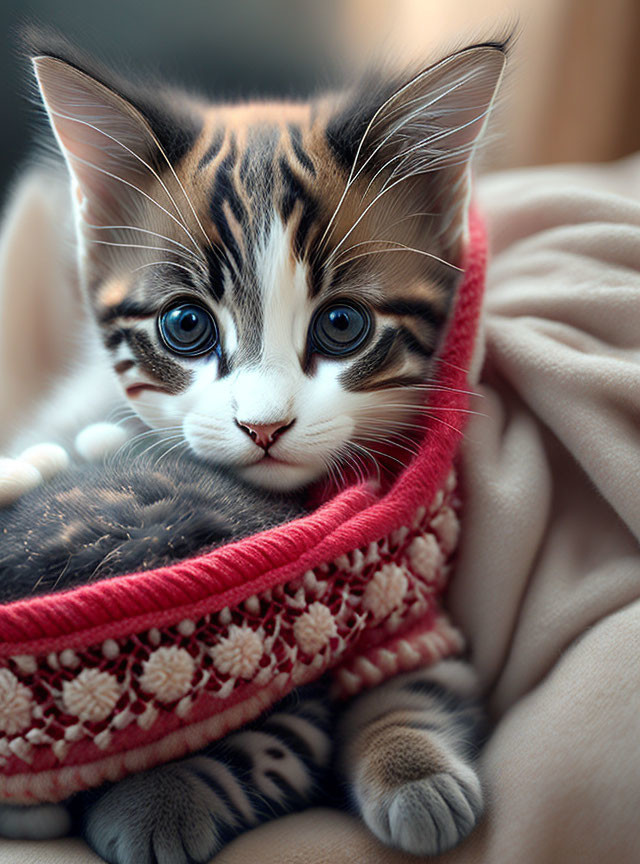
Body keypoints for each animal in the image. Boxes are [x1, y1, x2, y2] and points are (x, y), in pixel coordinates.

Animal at [0, 27, 504, 864]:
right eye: (185, 325)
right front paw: (157, 800)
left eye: (343, 324)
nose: (263, 427)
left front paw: (412, 765)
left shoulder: (408, 605)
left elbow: (406, 677)